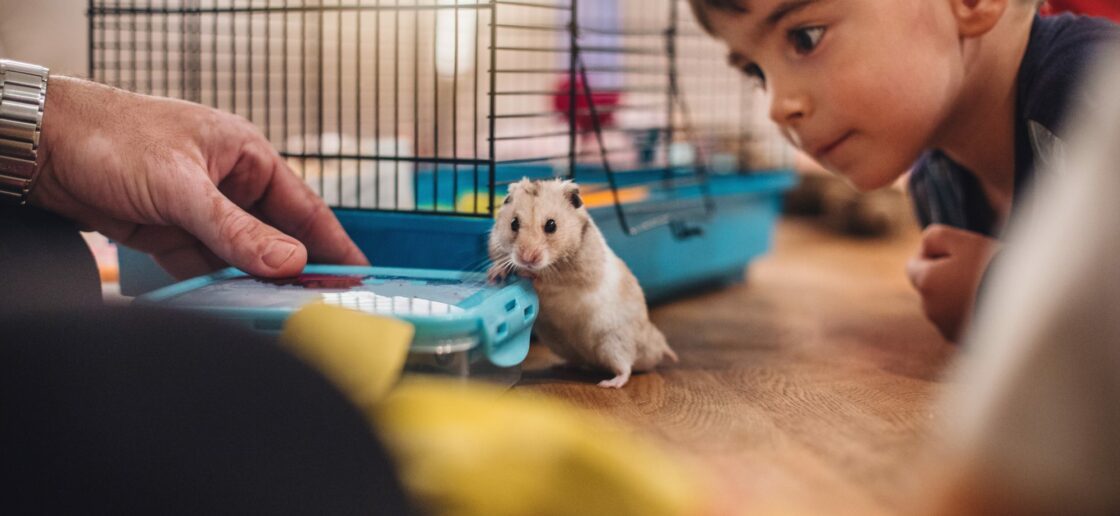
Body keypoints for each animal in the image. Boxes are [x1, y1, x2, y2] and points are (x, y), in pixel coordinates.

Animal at [488, 176, 676, 385]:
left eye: (551, 225)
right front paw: (495, 273)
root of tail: (654, 347)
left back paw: (609, 383)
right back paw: (561, 366)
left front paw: (526, 274)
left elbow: (549, 281)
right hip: (567, 346)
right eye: (513, 223)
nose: (527, 258)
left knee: (626, 367)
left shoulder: (576, 275)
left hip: (614, 342)